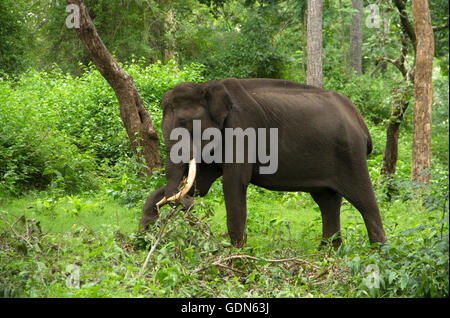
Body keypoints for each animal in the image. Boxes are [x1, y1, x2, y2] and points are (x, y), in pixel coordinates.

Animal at [140, 78, 386, 247]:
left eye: (184, 122)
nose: (192, 211)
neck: (208, 86)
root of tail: (360, 121)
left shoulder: (241, 128)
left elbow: (233, 184)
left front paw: (236, 257)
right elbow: (200, 184)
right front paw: (142, 238)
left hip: (351, 154)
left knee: (365, 202)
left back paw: (378, 255)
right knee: (327, 202)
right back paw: (327, 254)